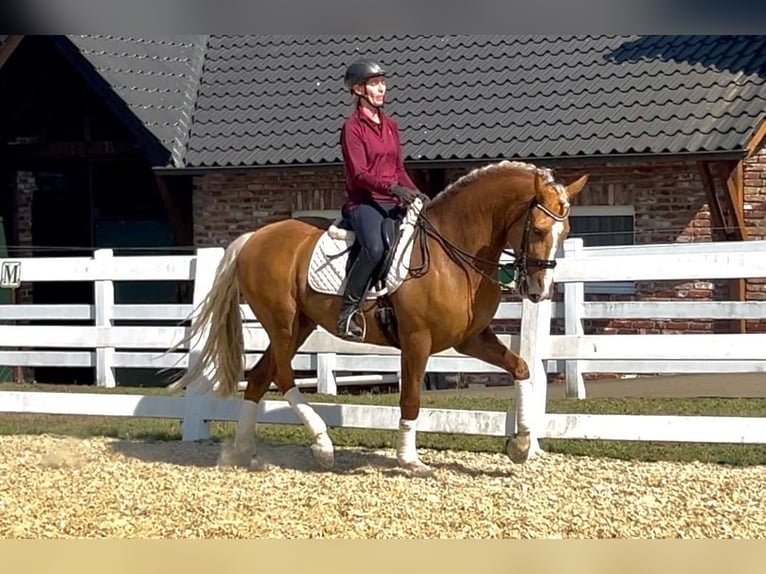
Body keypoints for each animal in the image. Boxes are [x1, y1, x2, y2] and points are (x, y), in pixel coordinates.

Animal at [171, 160, 588, 476]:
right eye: (538, 229)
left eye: (566, 230)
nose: (539, 291)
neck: (453, 253)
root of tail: (253, 238)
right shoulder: (417, 341)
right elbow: (411, 399)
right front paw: (410, 461)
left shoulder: (471, 338)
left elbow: (521, 368)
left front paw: (521, 444)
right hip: (284, 323)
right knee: (282, 375)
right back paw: (322, 445)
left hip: (299, 325)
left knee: (260, 376)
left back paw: (243, 452)